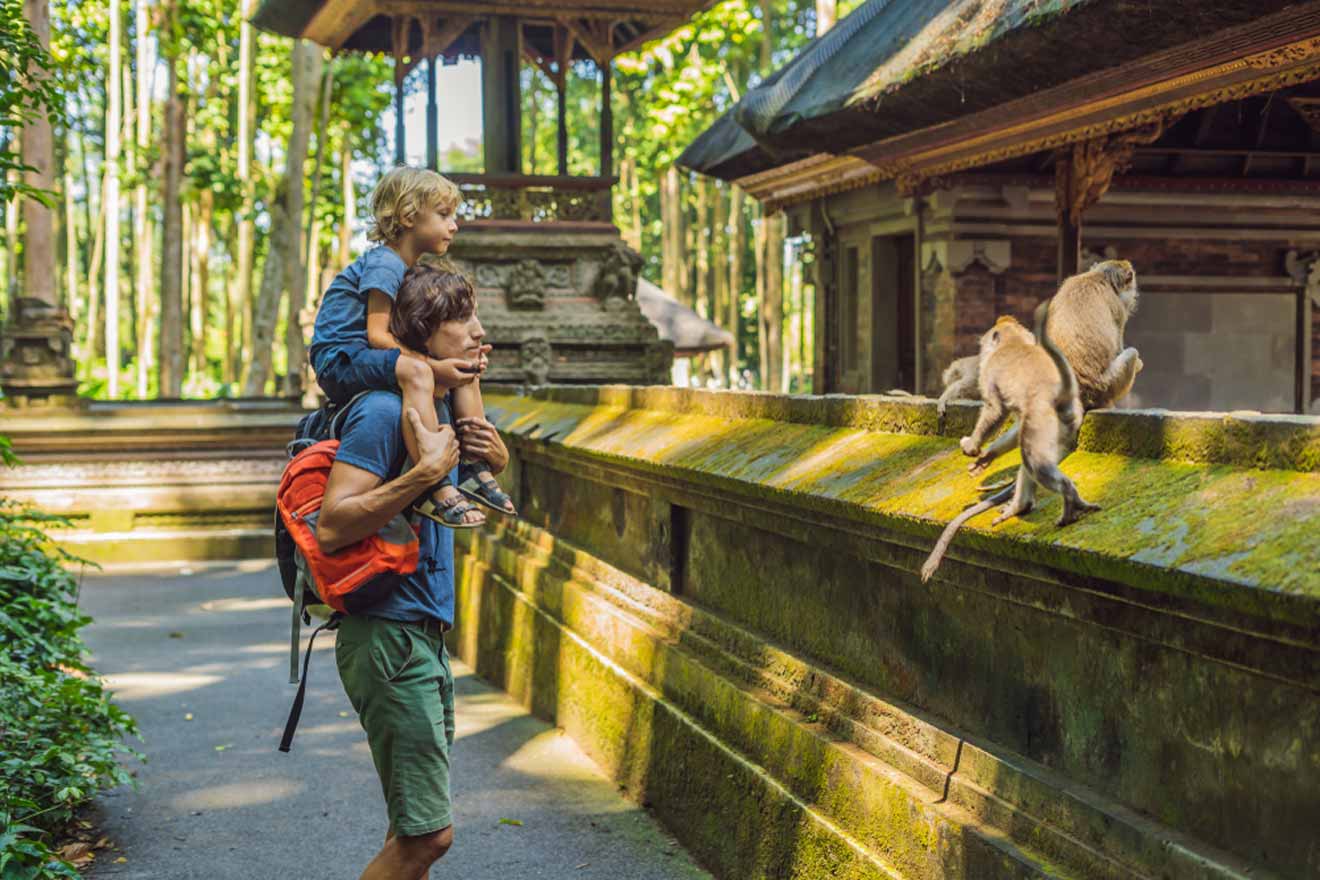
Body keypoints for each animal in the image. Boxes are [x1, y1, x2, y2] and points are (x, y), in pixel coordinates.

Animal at [918, 300, 1092, 585]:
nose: (982, 349)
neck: (1015, 342)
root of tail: (1063, 396)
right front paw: (986, 456)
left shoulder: (989, 373)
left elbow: (995, 410)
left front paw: (973, 446)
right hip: (1064, 431)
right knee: (1030, 461)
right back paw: (1022, 507)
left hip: (1042, 423)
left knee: (1034, 462)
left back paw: (1067, 499)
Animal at [966, 261, 1140, 474]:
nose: (1134, 297)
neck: (1099, 277)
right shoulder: (1118, 309)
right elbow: (1120, 349)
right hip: (1107, 387)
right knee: (1131, 353)